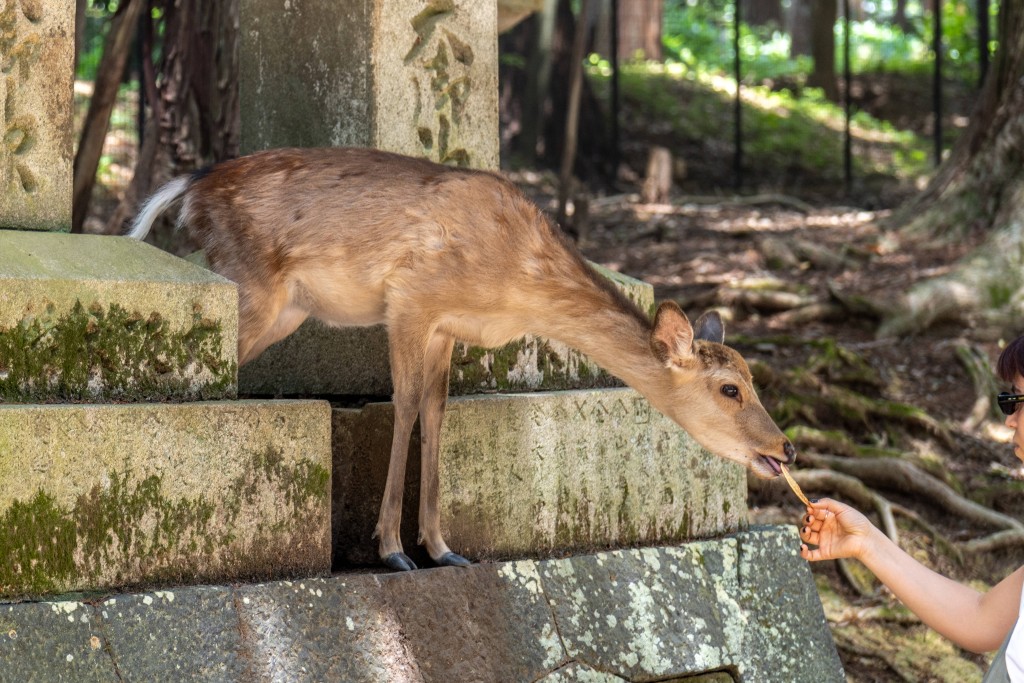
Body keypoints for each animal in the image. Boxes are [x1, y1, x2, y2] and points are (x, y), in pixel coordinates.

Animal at [128, 147, 796, 572]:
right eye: (730, 388)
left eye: (753, 377)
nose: (785, 448)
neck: (515, 284)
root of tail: (189, 189)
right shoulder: (410, 299)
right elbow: (402, 407)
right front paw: (393, 549)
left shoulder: (449, 326)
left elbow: (436, 413)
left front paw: (442, 547)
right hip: (249, 284)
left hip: (284, 307)